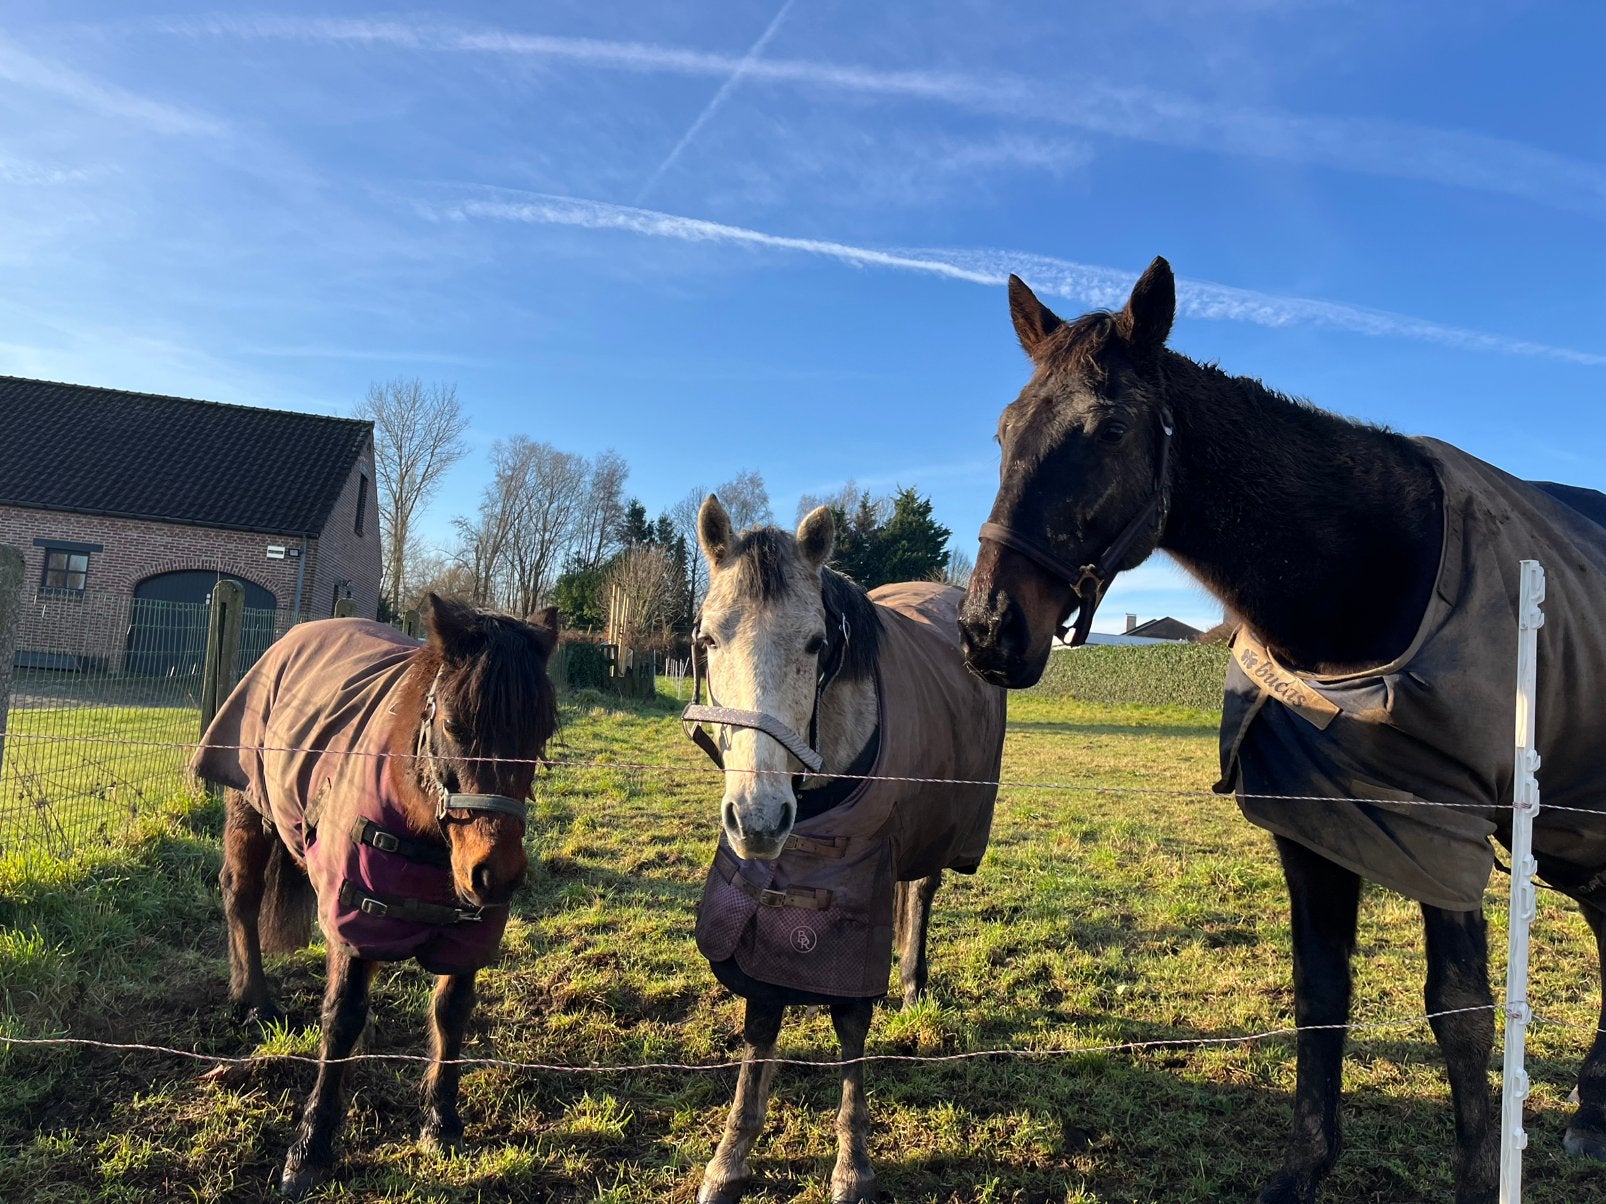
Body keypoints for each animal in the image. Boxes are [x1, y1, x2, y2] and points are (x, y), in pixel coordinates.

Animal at [191, 594, 560, 1198]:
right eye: (453, 723)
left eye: (541, 731)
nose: (496, 875)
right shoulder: (355, 918)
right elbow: (341, 1018)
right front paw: (311, 1148)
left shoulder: (468, 935)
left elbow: (451, 1014)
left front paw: (442, 1122)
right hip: (249, 805)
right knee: (239, 896)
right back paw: (254, 1001)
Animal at [685, 496, 1007, 1204]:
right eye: (708, 639)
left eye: (815, 643)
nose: (759, 817)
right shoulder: (768, 890)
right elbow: (761, 1018)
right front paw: (731, 1155)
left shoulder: (860, 886)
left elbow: (853, 1024)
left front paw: (852, 1165)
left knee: (921, 891)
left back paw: (912, 984)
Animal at [956, 258, 1606, 1204]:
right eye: (1005, 430)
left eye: (1108, 430)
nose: (986, 629)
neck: (1363, 585)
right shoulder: (1316, 826)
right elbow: (1319, 995)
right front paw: (1304, 1169)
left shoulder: (1444, 836)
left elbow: (1462, 1016)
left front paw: (1480, 1178)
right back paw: (1595, 1111)